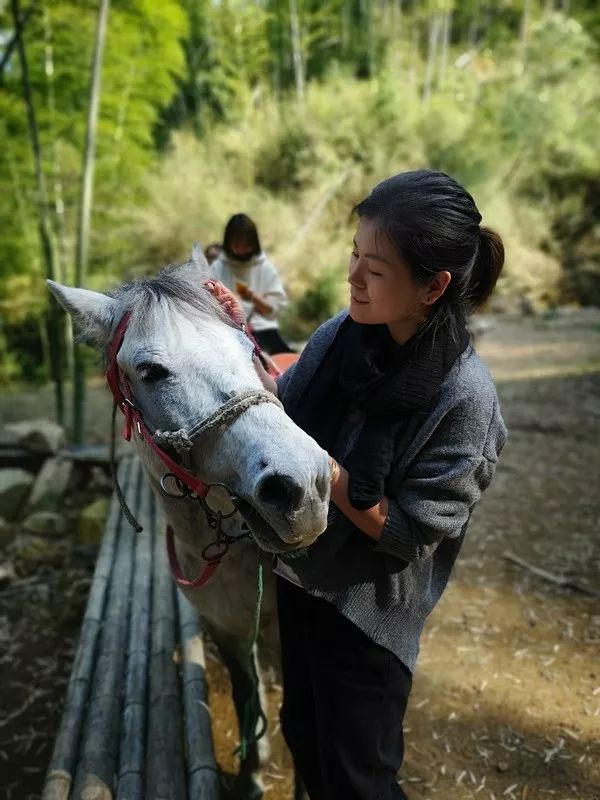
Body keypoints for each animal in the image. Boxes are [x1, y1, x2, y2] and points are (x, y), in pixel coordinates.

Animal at [47, 252, 328, 800]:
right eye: (151, 371)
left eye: (249, 351)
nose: (302, 485)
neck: (229, 553)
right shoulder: (225, 628)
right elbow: (246, 695)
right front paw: (251, 774)